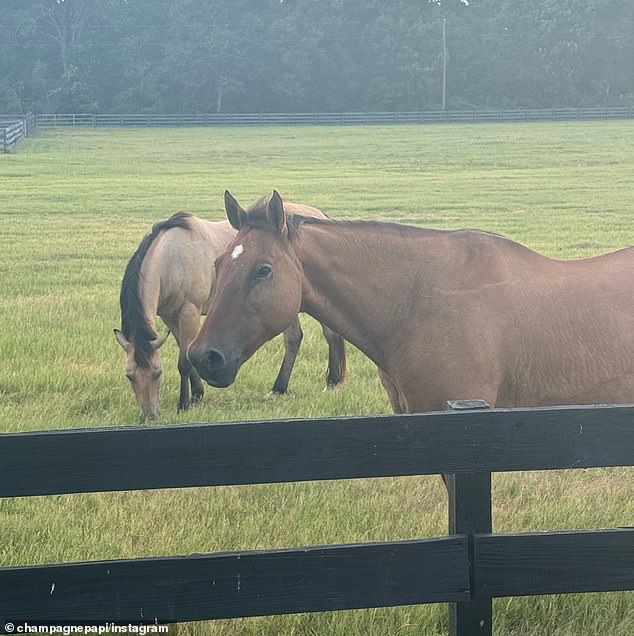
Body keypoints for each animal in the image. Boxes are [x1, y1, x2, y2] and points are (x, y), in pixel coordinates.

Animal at [111, 207, 344, 422]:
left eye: (157, 372)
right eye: (129, 376)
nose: (149, 415)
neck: (171, 257)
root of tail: (319, 213)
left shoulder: (189, 311)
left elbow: (183, 361)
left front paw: (184, 403)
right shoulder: (169, 316)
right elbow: (185, 351)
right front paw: (197, 393)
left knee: (328, 334)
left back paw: (330, 382)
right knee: (295, 338)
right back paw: (281, 388)